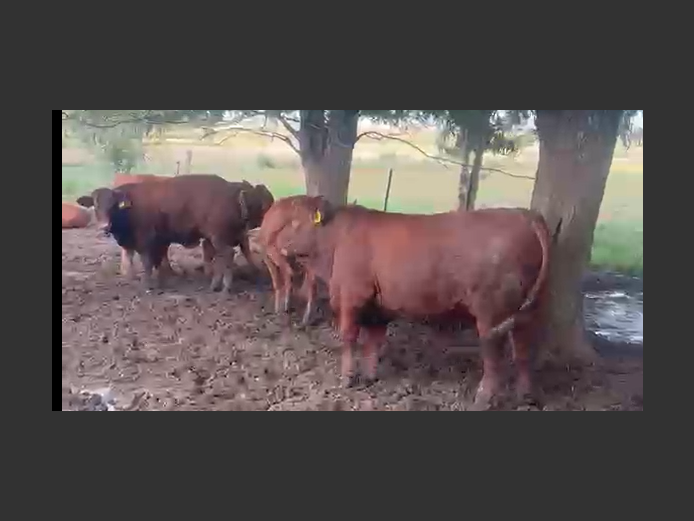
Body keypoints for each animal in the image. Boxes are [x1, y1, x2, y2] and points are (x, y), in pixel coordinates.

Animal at [86, 175, 274, 291]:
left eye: (113, 205)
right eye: (95, 205)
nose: (104, 226)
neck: (131, 205)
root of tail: (230, 189)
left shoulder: (147, 240)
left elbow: (148, 262)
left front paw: (147, 285)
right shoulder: (156, 241)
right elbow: (155, 260)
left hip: (218, 237)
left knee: (227, 255)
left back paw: (225, 287)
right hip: (216, 238)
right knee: (222, 257)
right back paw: (216, 285)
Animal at [275, 197, 557, 410]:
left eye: (296, 222)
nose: (278, 244)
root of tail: (524, 214)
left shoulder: (352, 296)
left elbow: (349, 337)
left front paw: (347, 378)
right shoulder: (379, 305)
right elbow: (373, 340)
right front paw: (370, 375)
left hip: (491, 311)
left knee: (493, 353)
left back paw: (483, 398)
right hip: (528, 309)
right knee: (522, 348)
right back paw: (525, 396)